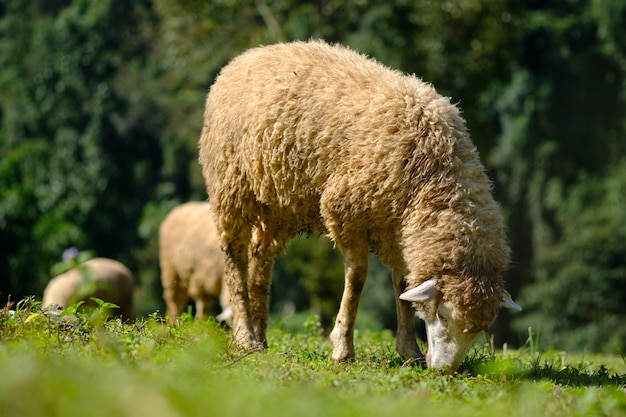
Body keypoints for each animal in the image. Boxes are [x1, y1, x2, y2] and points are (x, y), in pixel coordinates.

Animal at [197, 39, 520, 370]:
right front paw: (342, 348)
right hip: (231, 187)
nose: (444, 372)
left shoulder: (396, 229)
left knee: (261, 259)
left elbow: (403, 285)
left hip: (278, 207)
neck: (434, 172)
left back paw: (260, 339)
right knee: (235, 259)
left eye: (479, 330)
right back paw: (244, 335)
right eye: (443, 315)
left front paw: (409, 350)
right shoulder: (345, 211)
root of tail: (248, 55)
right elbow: (357, 280)